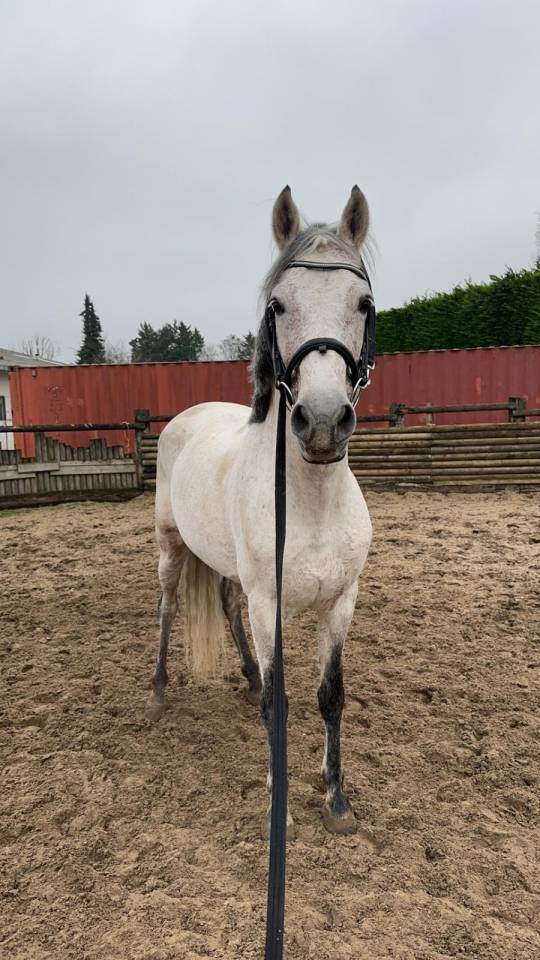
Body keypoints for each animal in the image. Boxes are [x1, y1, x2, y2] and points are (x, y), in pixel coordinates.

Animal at [145, 185, 374, 837]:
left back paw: (245, 677)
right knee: (169, 603)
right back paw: (159, 690)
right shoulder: (267, 604)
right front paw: (281, 807)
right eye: (277, 304)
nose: (321, 423)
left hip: (225, 566)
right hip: (170, 546)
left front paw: (336, 800)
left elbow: (330, 695)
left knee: (223, 603)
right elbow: (281, 703)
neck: (311, 504)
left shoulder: (341, 601)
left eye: (363, 303)